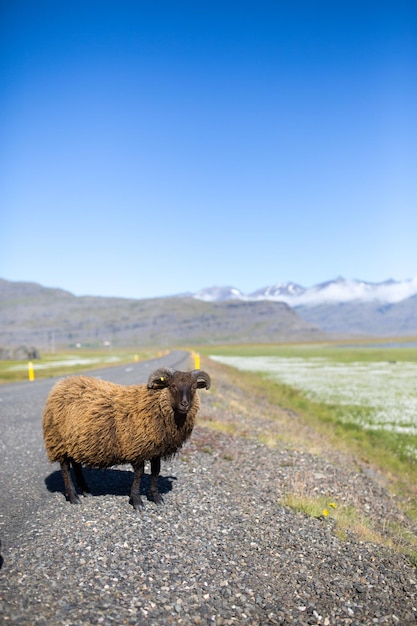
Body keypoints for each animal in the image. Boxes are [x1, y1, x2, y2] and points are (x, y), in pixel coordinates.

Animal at [41, 366, 210, 508]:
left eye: (193, 387)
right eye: (172, 386)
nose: (184, 404)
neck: (154, 405)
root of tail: (60, 384)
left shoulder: (155, 449)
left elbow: (155, 471)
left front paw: (156, 497)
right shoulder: (136, 448)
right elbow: (139, 474)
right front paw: (137, 501)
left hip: (76, 442)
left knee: (76, 464)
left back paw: (85, 489)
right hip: (58, 442)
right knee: (65, 468)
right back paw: (73, 496)